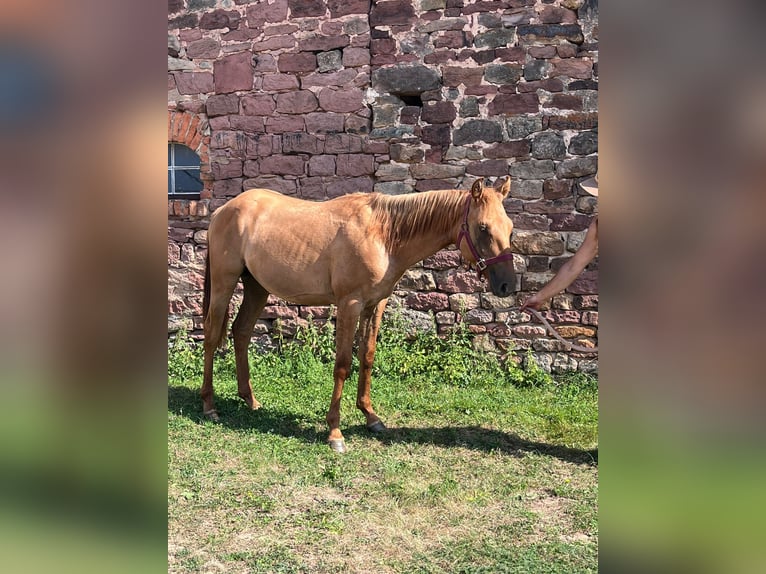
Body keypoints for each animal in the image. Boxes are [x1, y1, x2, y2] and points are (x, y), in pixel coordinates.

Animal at [201, 178, 520, 452]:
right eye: (483, 228)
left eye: (510, 227)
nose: (508, 285)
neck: (383, 234)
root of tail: (221, 211)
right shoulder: (350, 304)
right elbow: (342, 364)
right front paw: (335, 432)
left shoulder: (374, 305)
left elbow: (367, 356)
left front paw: (370, 416)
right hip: (224, 284)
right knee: (211, 337)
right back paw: (209, 405)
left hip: (257, 287)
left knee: (241, 332)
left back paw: (250, 399)